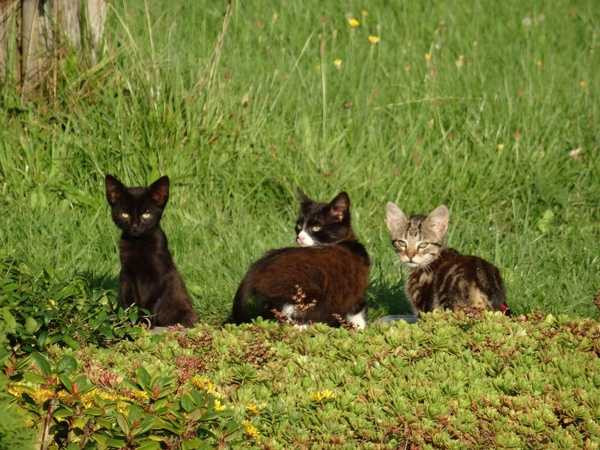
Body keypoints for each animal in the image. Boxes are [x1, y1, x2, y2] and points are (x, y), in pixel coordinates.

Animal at [103, 173, 197, 326]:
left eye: (146, 214)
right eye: (125, 214)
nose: (135, 226)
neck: (139, 244)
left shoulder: (160, 275)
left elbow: (150, 302)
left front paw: (144, 320)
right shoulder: (128, 275)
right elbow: (131, 300)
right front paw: (131, 321)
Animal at [231, 192, 368, 328]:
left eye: (316, 227)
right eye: (299, 226)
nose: (299, 237)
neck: (344, 242)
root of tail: (256, 268)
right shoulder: (356, 285)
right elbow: (357, 310)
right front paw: (360, 327)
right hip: (306, 289)